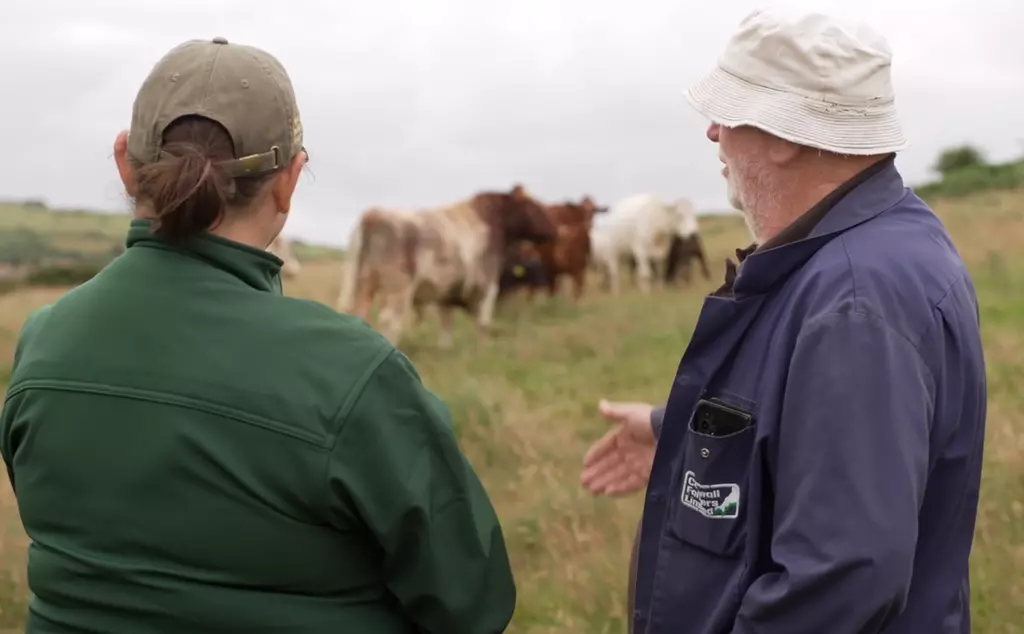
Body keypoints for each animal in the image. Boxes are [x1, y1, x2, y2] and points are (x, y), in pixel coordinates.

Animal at [335, 183, 557, 350]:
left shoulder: (446, 292)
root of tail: (373, 214)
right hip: (398, 290)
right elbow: (483, 323)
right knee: (391, 321)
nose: (555, 230)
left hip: (364, 286)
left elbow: (446, 324)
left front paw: (445, 350)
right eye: (535, 206)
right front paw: (483, 351)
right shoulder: (488, 285)